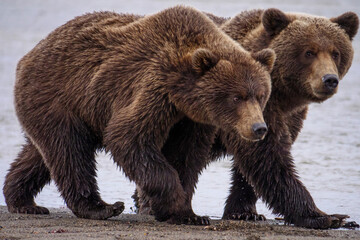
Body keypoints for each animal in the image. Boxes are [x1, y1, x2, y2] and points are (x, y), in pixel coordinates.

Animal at [2, 6, 276, 226]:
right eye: (237, 97)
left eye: (261, 94)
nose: (259, 127)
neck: (182, 92)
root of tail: (29, 55)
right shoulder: (152, 86)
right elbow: (128, 137)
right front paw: (173, 204)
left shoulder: (193, 120)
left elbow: (187, 156)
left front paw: (189, 214)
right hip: (59, 97)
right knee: (70, 152)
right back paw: (103, 207)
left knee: (41, 155)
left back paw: (23, 200)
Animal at [134, 8, 358, 228]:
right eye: (309, 52)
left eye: (336, 53)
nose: (329, 80)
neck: (282, 94)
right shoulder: (251, 109)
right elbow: (269, 158)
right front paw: (324, 215)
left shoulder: (285, 115)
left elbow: (254, 164)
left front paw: (244, 212)